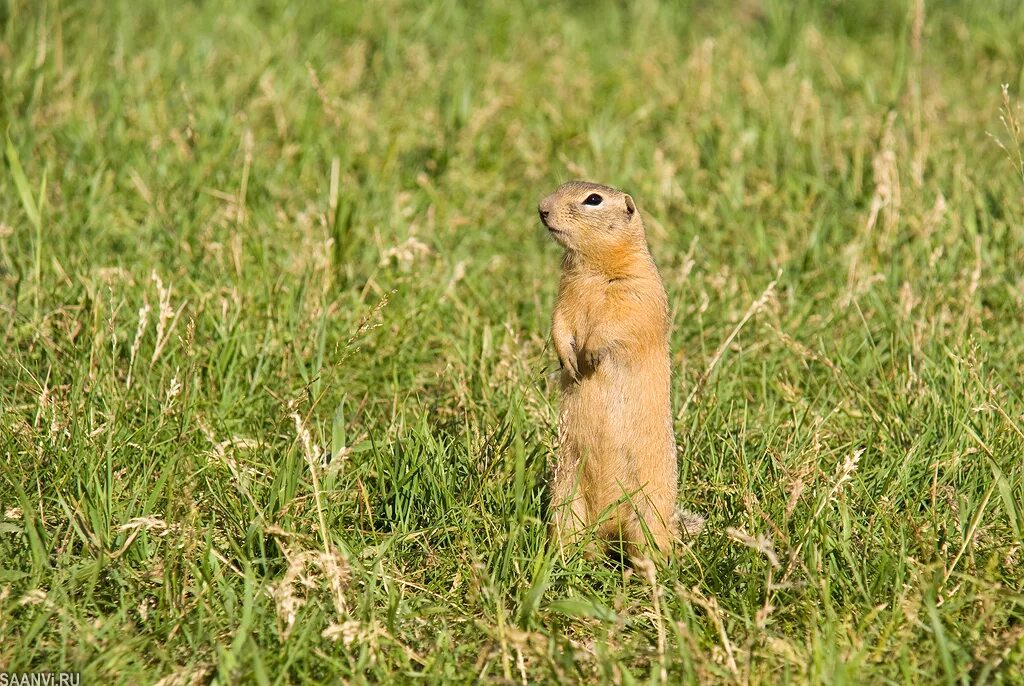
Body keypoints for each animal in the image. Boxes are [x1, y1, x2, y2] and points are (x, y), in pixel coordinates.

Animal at [540, 182, 675, 565]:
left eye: (593, 200)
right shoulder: (564, 294)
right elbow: (559, 322)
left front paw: (589, 354)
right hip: (566, 499)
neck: (593, 270)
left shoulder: (636, 289)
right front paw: (568, 360)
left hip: (649, 510)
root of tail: (608, 525)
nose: (542, 208)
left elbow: (618, 323)